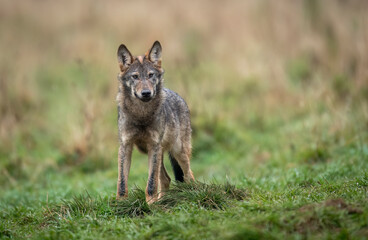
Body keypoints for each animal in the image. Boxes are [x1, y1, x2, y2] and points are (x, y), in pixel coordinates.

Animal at [115, 40, 196, 202]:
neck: (141, 115)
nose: (146, 93)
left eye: (150, 75)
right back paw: (162, 200)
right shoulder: (125, 146)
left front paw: (151, 203)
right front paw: (120, 202)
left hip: (177, 151)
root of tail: (179, 97)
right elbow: (122, 182)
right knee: (166, 178)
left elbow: (151, 182)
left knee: (189, 174)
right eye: (135, 77)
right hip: (158, 153)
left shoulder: (154, 145)